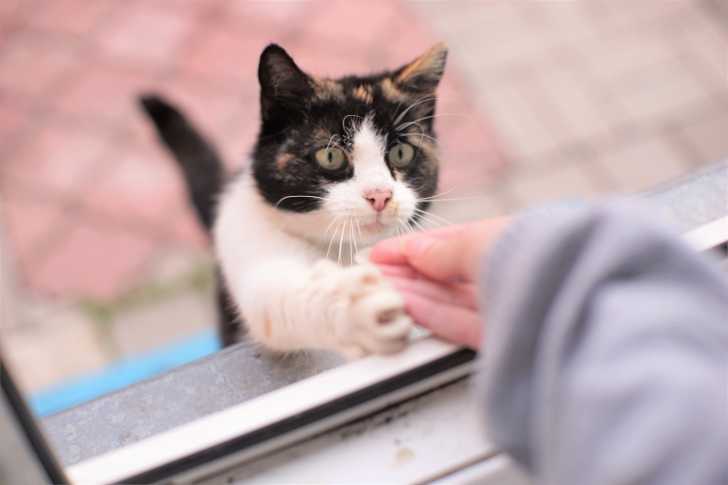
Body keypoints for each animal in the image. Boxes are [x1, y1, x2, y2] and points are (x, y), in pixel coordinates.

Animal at [139, 41, 446, 358]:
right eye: (330, 156)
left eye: (401, 153)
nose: (380, 195)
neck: (345, 249)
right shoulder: (249, 239)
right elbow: (277, 299)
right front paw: (358, 308)